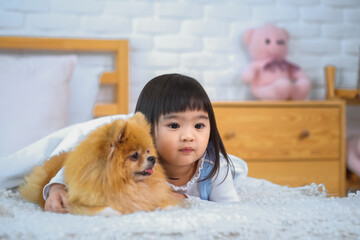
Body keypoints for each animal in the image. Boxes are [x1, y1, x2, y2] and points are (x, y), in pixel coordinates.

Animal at [19, 112, 179, 216]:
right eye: (134, 155)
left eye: (148, 151)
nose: (152, 158)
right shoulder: (80, 206)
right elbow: (110, 210)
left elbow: (162, 203)